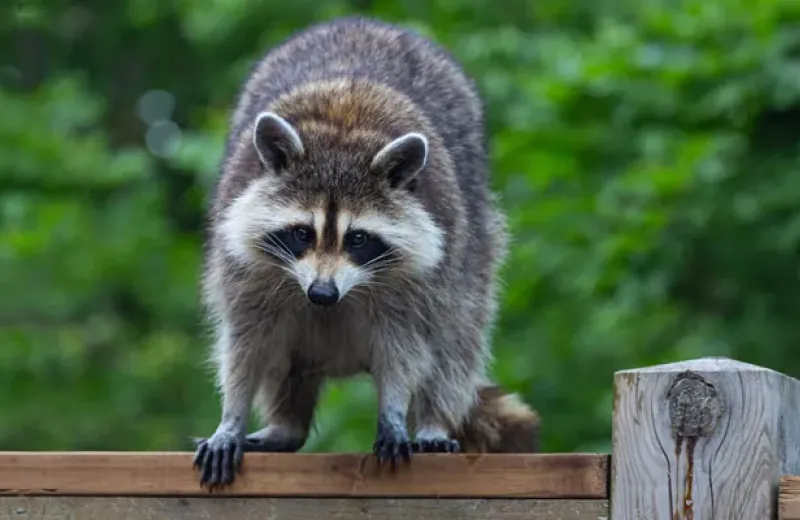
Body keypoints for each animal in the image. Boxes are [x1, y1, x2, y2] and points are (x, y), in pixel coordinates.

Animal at [191, 16, 540, 488]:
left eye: (357, 239)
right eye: (301, 233)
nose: (322, 294)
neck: (343, 131)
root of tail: (365, 22)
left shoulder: (420, 278)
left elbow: (405, 344)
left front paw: (393, 410)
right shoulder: (245, 266)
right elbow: (247, 341)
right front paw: (231, 416)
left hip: (474, 245)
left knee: (456, 336)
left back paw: (433, 420)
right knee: (284, 360)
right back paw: (286, 424)